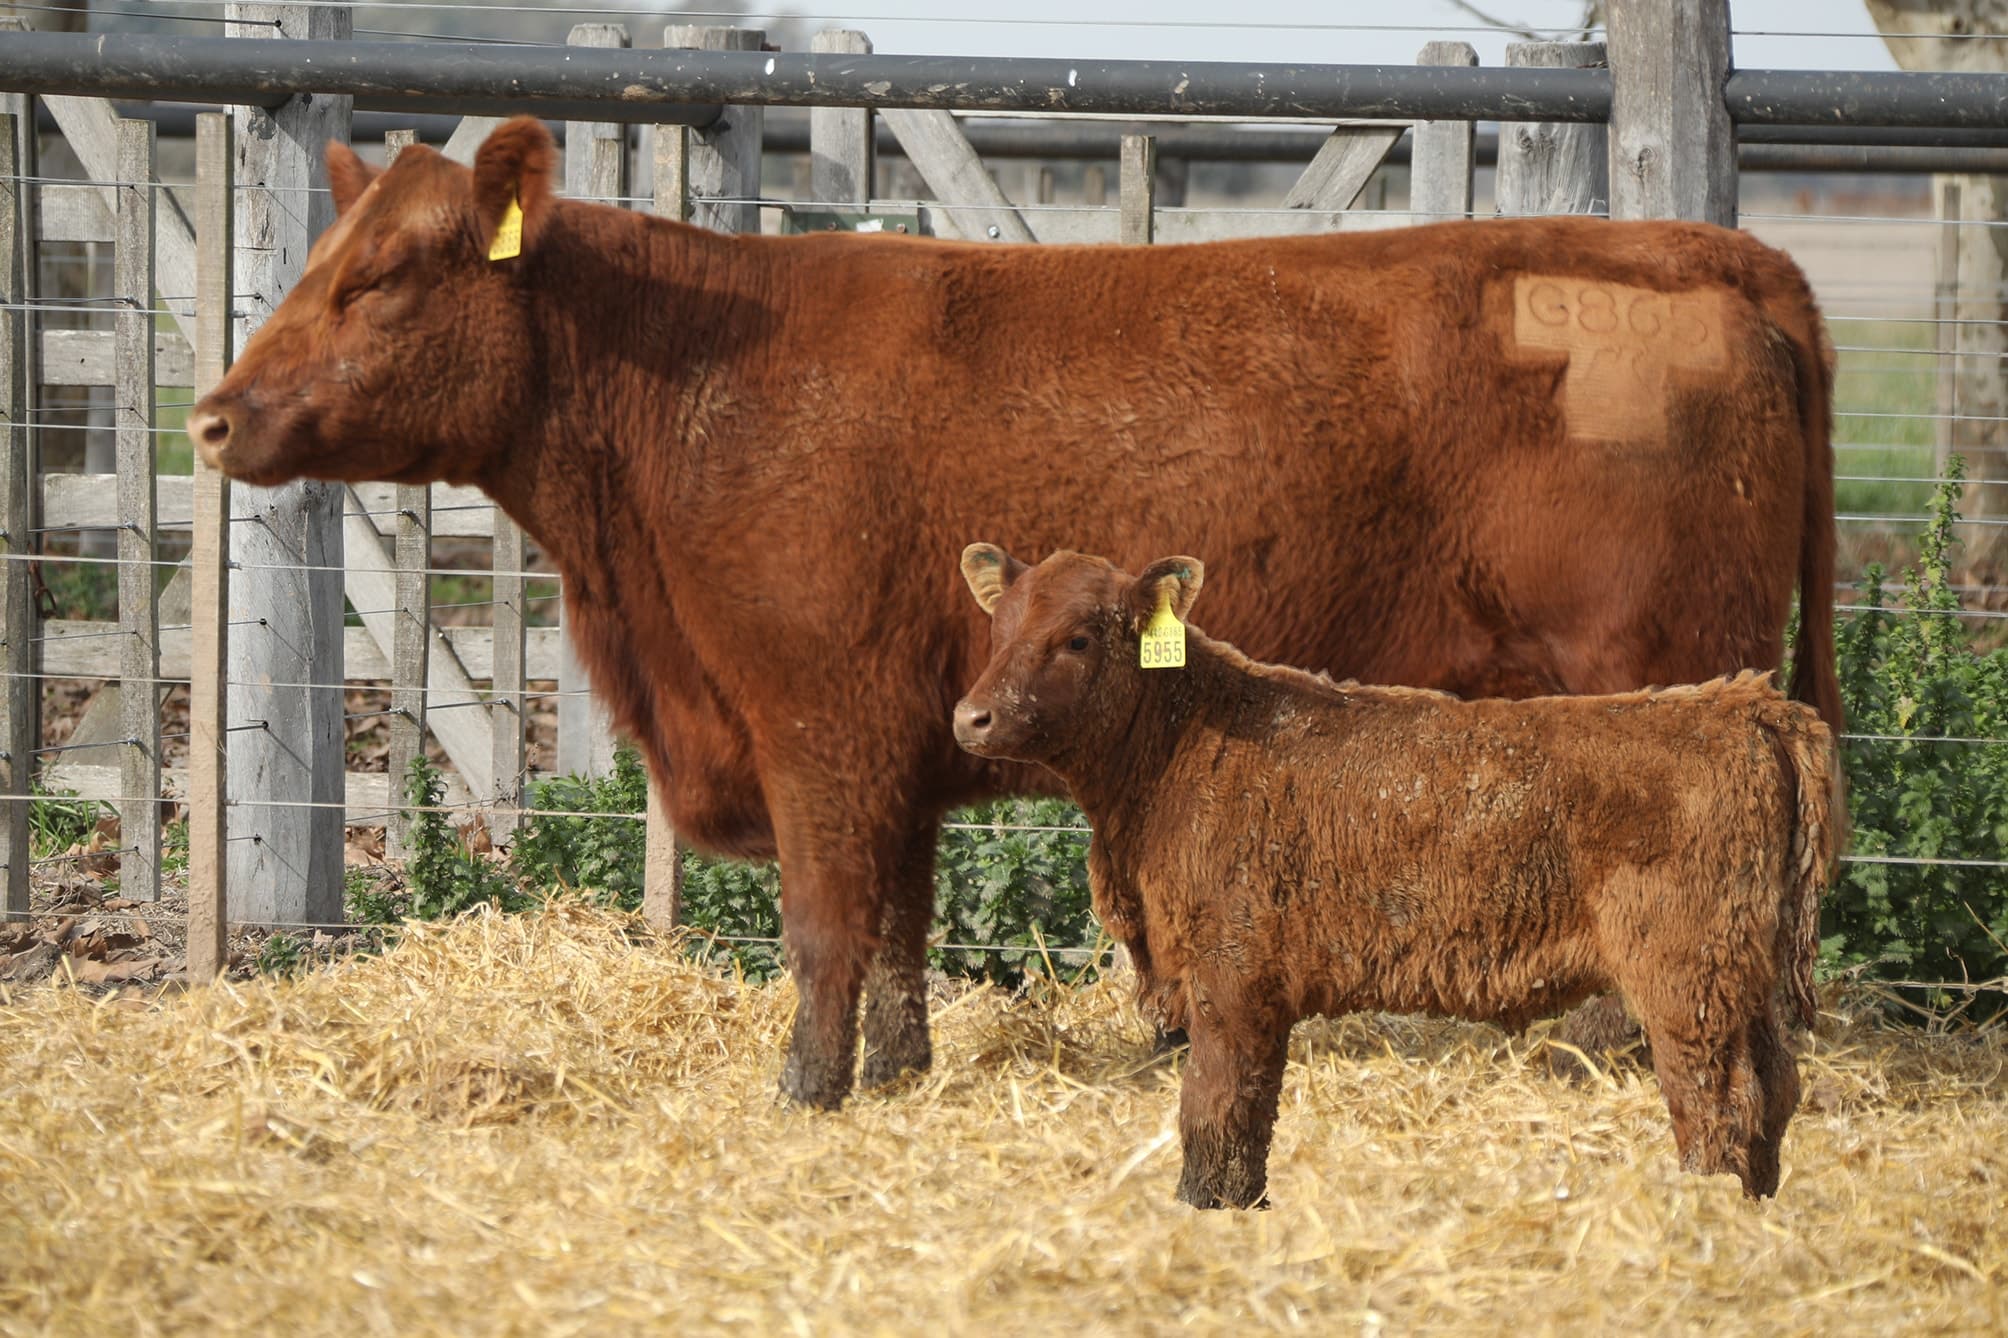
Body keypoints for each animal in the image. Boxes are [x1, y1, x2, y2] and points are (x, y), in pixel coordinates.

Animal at [187, 116, 1839, 1111]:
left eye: (387, 275)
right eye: (325, 259)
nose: (210, 415)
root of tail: (1707, 247)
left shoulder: (820, 724)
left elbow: (825, 924)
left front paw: (804, 1092)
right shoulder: (906, 739)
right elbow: (900, 931)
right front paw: (899, 1076)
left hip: (1664, 680)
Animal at [952, 545, 1839, 1207]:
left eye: (1078, 637)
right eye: (998, 625)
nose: (971, 717)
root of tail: (1742, 704)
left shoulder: (1230, 979)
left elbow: (1216, 1111)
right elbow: (1247, 1117)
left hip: (1689, 979)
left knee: (1718, 1101)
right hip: (1741, 975)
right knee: (1775, 1088)